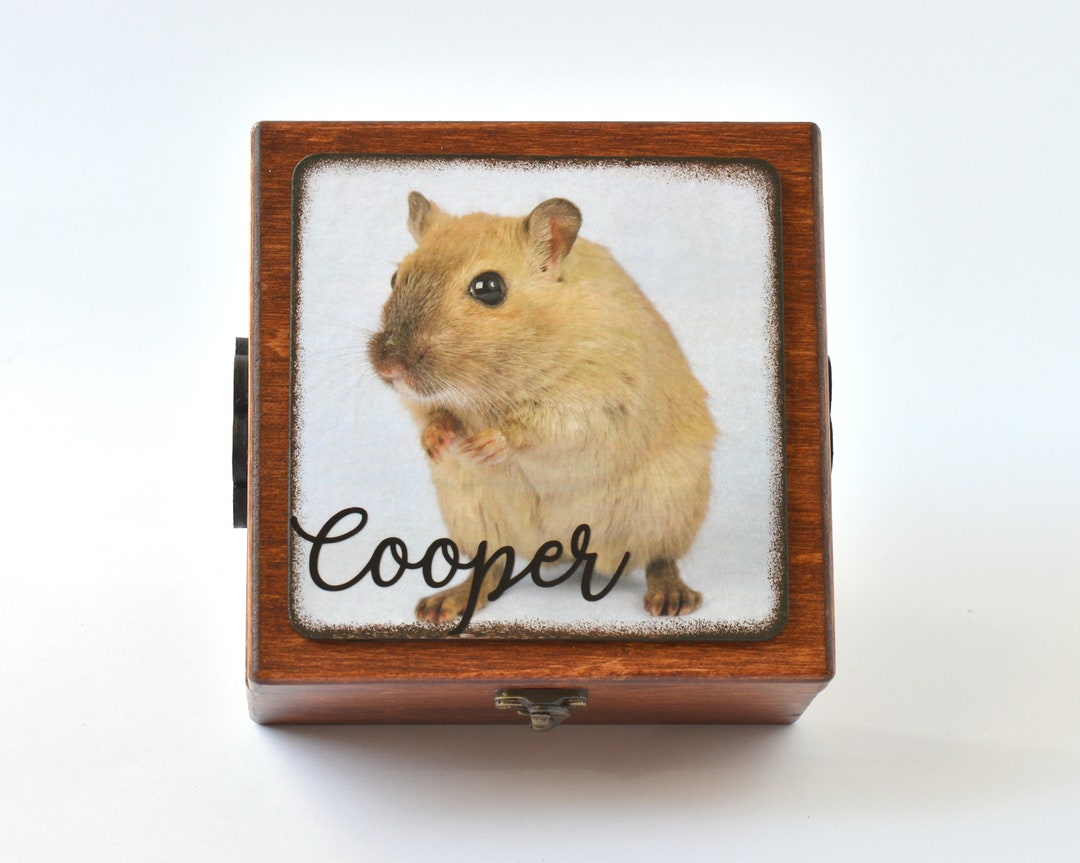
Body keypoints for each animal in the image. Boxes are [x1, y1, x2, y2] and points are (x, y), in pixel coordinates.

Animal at [368, 192, 717, 625]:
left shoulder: (594, 399)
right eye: (395, 277)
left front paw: (483, 445)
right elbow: (432, 416)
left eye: (489, 287)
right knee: (492, 565)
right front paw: (437, 443)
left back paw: (671, 600)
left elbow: (535, 427)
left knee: (659, 559)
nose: (389, 367)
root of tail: (562, 550)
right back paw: (442, 605)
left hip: (667, 509)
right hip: (472, 515)